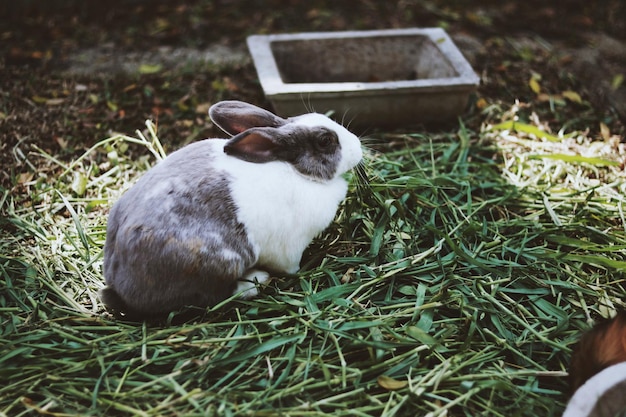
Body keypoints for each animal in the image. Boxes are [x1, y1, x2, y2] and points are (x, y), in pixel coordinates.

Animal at [100, 100, 364, 316]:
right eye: (325, 141)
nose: (358, 147)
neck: (295, 170)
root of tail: (118, 282)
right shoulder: (289, 249)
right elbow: (290, 267)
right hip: (218, 263)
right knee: (213, 295)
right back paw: (255, 280)